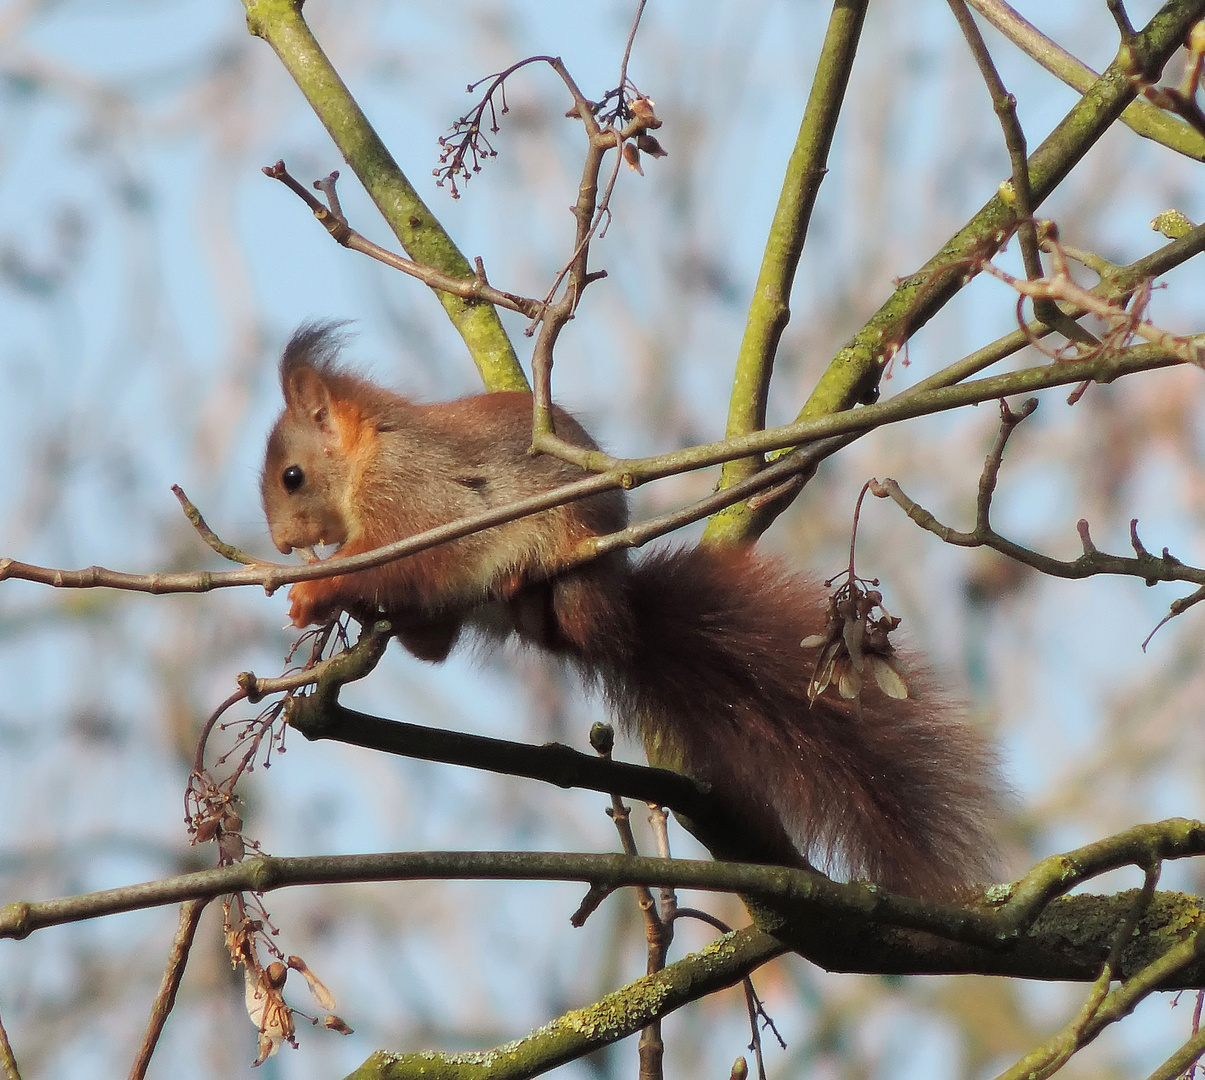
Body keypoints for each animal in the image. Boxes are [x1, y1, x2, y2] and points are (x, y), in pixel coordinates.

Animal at [266, 325, 1007, 896]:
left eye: (291, 477)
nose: (279, 545)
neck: (369, 457)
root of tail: (622, 610)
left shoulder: (417, 499)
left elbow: (398, 551)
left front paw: (318, 591)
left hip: (577, 570)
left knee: (568, 616)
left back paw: (529, 583)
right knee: (442, 642)